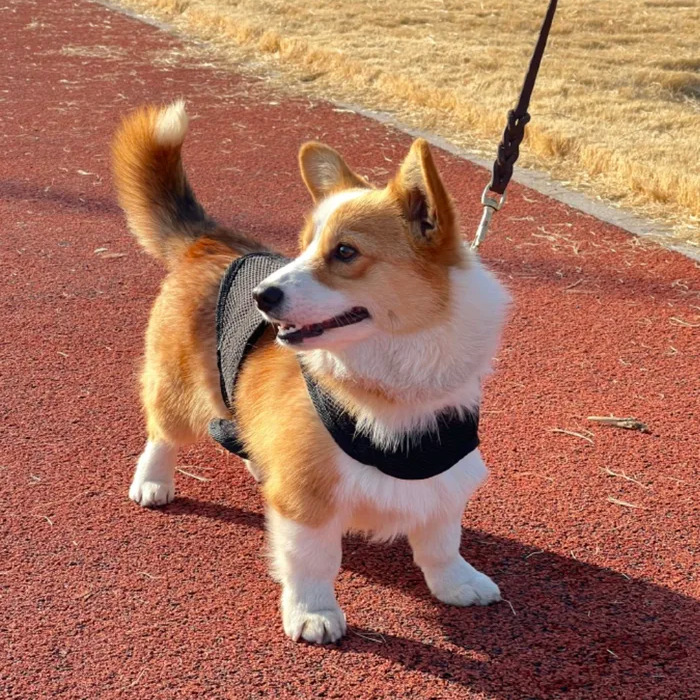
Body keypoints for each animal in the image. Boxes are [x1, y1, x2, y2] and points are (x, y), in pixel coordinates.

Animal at [113, 101, 508, 644]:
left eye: (345, 251)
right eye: (303, 247)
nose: (261, 297)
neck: (390, 373)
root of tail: (209, 240)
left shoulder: (443, 475)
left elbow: (441, 541)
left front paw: (457, 584)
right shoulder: (306, 497)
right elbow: (314, 561)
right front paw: (312, 613)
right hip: (178, 390)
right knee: (162, 433)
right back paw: (152, 482)